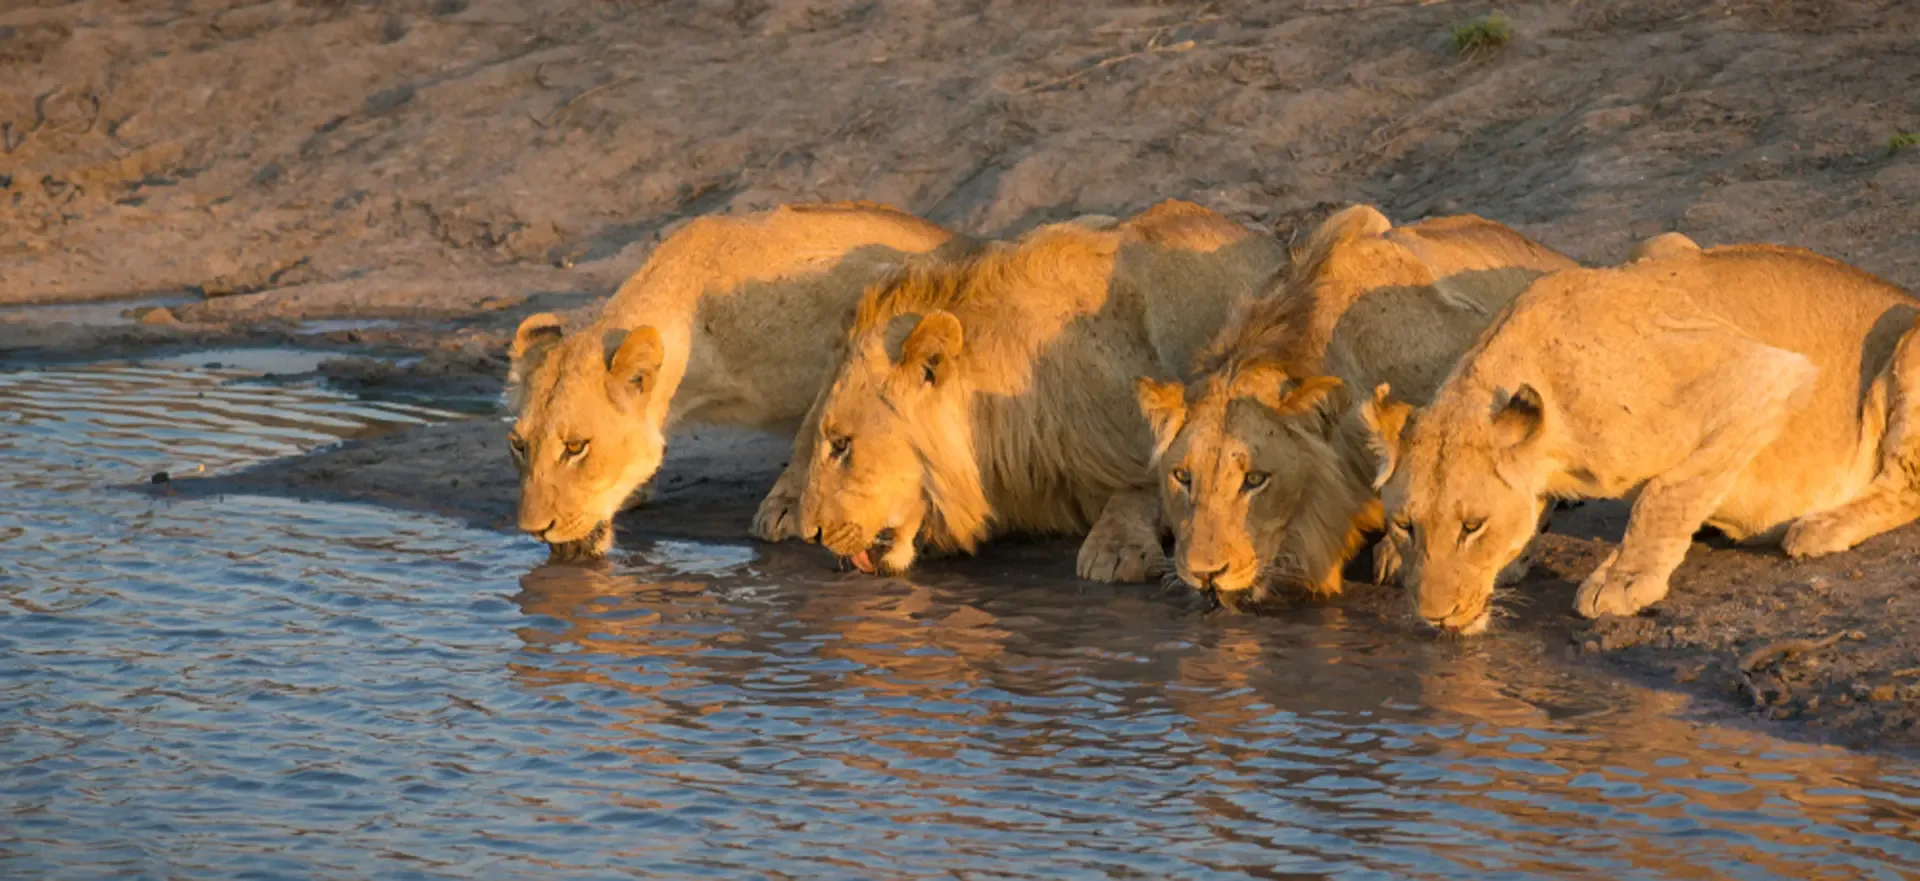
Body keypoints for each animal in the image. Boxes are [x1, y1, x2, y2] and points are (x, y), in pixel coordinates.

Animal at [507, 201, 958, 562]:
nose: (534, 530)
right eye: (518, 446)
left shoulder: (863, 305)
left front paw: (786, 506)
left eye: (576, 447)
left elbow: (814, 422)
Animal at [1370, 239, 1920, 635]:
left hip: (1910, 345)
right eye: (1405, 525)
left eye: (1472, 526)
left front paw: (1623, 580)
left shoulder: (1765, 373)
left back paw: (1822, 526)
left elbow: (1666, 491)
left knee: (1906, 487)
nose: (1434, 615)